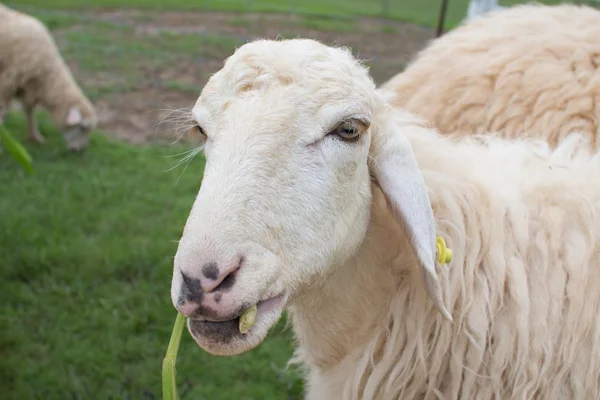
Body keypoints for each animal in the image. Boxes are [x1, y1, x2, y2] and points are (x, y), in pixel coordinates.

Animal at [0, 3, 96, 151]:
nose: (80, 150)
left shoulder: (29, 88)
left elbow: (29, 112)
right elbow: (2, 112)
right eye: (82, 128)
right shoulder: (6, 84)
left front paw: (35, 136)